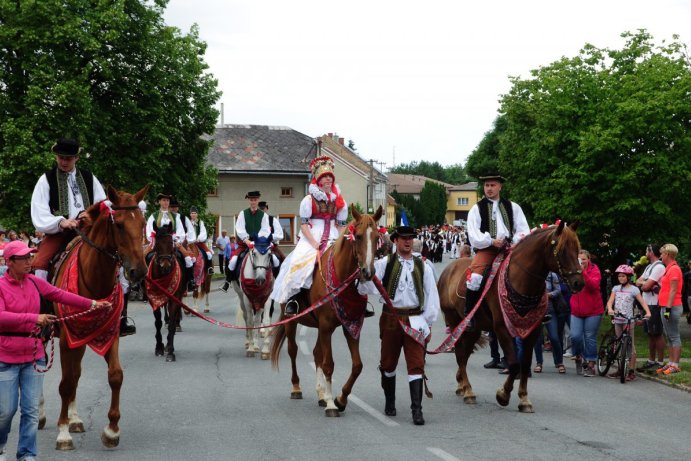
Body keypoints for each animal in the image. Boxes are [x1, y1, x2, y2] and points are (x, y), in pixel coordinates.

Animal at [52, 184, 149, 450]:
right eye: (120, 225)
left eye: (143, 223)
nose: (139, 271)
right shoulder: (65, 340)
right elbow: (65, 382)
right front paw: (62, 432)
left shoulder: (109, 334)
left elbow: (115, 376)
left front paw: (112, 430)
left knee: (76, 373)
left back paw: (75, 418)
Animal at [272, 205, 384, 416]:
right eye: (357, 236)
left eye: (376, 238)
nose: (368, 272)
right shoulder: (325, 326)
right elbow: (328, 364)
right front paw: (333, 404)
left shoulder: (350, 326)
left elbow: (357, 365)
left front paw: (340, 399)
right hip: (292, 322)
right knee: (293, 350)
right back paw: (296, 387)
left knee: (316, 353)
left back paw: (321, 394)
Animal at [438, 221, 584, 412]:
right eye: (563, 250)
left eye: (577, 249)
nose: (579, 283)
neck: (520, 281)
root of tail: (449, 270)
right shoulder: (502, 329)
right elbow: (514, 364)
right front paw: (503, 395)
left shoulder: (532, 331)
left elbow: (525, 363)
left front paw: (524, 399)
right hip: (456, 322)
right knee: (460, 354)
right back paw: (468, 391)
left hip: (473, 329)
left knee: (464, 353)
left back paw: (462, 385)